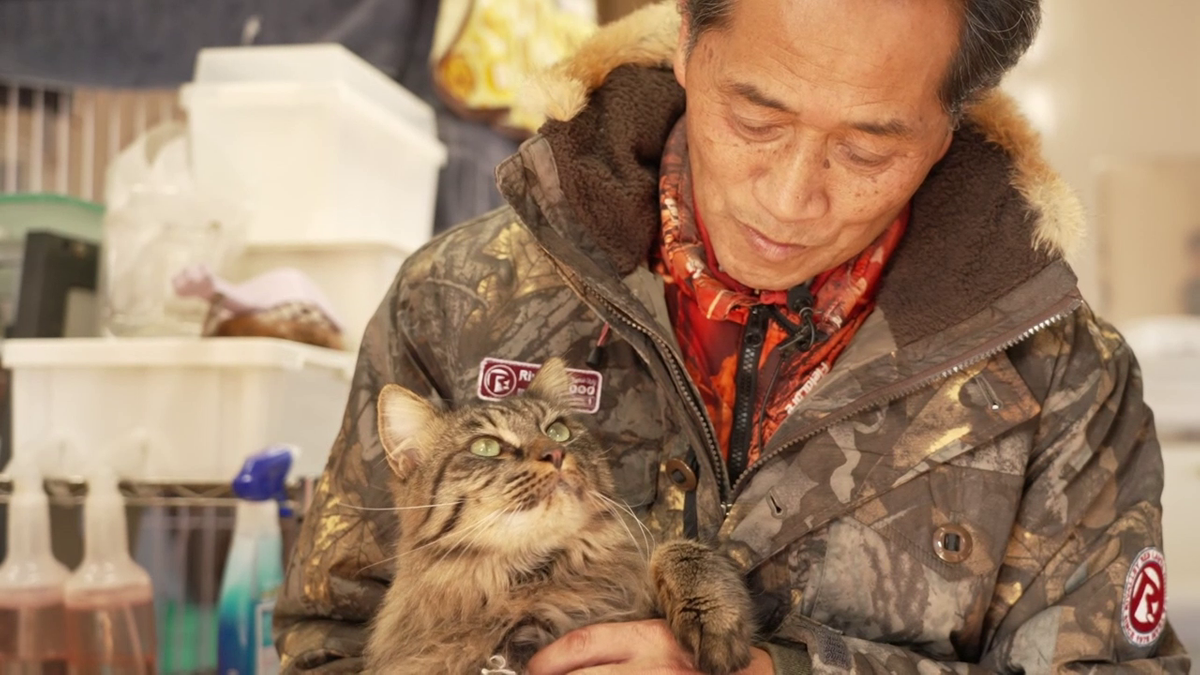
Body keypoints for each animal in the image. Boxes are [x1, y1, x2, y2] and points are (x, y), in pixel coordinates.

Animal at [364, 355, 753, 667]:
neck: (540, 581)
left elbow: (678, 549)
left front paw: (715, 623)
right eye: (486, 447)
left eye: (558, 431)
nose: (555, 453)